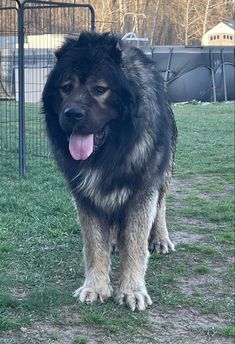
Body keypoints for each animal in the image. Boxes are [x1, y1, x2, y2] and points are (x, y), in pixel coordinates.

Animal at [42, 32, 177, 312]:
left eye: (100, 89)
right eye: (66, 87)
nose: (72, 114)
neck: (111, 150)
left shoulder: (142, 190)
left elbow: (136, 243)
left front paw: (132, 290)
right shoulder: (85, 195)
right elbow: (94, 244)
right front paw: (95, 286)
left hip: (164, 174)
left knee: (160, 207)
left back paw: (160, 238)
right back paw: (115, 241)